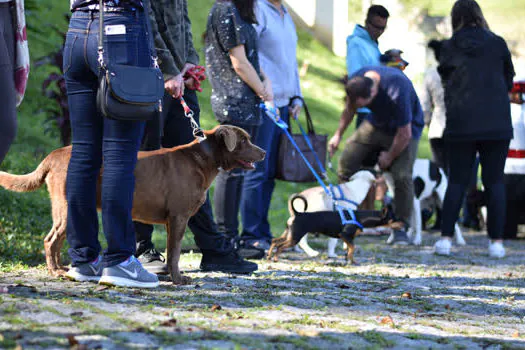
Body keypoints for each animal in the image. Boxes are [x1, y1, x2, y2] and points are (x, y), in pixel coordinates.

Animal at [0, 126, 264, 284]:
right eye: (244, 140)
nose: (262, 152)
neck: (204, 158)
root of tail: (52, 155)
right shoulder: (179, 216)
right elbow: (175, 252)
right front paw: (179, 279)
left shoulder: (171, 221)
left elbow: (172, 251)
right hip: (67, 207)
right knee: (50, 240)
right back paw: (55, 271)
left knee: (54, 240)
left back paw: (62, 268)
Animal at [268, 196, 400, 264]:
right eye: (394, 219)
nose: (404, 223)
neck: (359, 217)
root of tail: (297, 213)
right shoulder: (345, 235)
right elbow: (353, 248)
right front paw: (351, 261)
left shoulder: (348, 238)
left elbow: (349, 250)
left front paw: (350, 260)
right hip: (295, 237)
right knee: (280, 246)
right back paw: (275, 258)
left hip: (289, 234)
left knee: (274, 241)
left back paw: (269, 256)